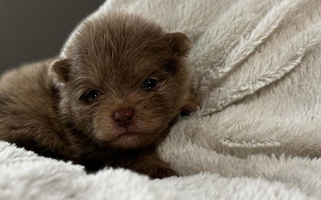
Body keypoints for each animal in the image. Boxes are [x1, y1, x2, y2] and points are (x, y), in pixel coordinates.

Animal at [0, 11, 198, 179]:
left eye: (150, 83)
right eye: (93, 95)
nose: (123, 116)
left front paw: (189, 100)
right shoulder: (93, 150)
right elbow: (126, 158)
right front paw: (164, 171)